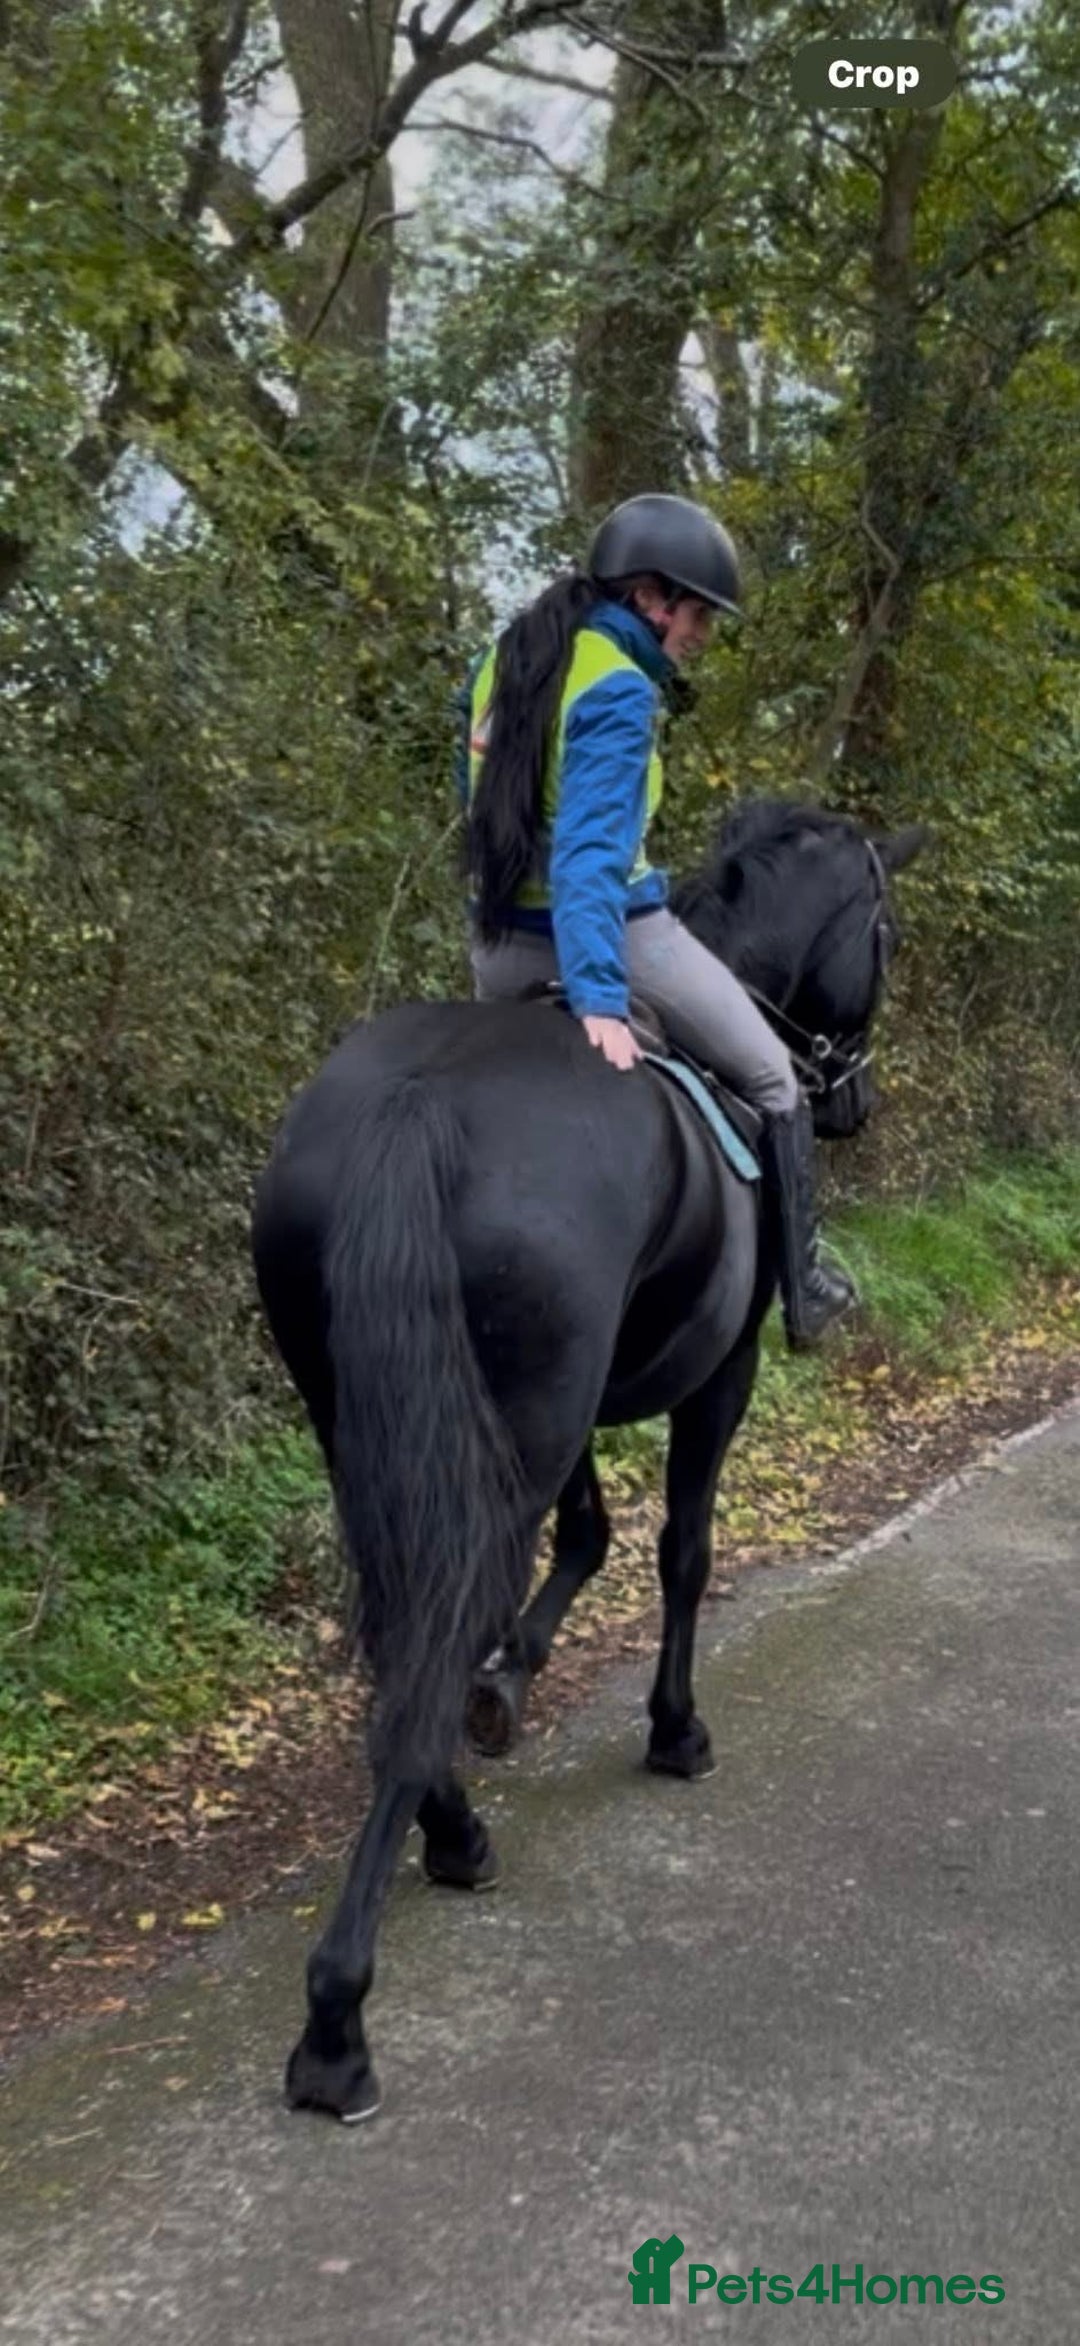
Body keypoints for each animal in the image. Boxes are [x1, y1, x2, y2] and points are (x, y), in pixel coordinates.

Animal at [251, 796, 925, 2122]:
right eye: (880, 927)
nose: (851, 1102)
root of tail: (417, 1103)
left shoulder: (560, 1404)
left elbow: (585, 1536)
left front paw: (514, 1679)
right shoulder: (721, 1377)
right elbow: (679, 1552)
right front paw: (674, 1731)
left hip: (387, 1425)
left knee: (408, 1630)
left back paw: (453, 1832)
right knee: (430, 1642)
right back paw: (339, 2023)